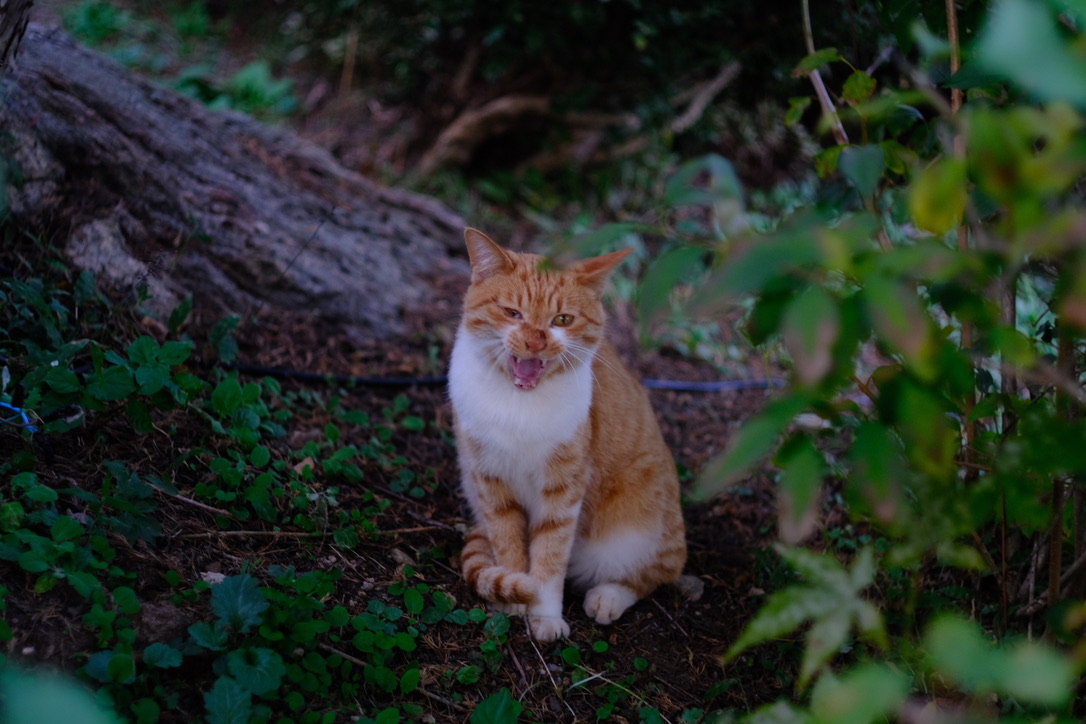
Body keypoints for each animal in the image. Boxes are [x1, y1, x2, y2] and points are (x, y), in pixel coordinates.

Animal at [448, 227, 688, 641]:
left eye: (562, 319)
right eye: (513, 313)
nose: (536, 342)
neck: (519, 404)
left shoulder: (563, 489)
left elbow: (550, 555)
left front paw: (544, 614)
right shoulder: (489, 480)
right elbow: (508, 542)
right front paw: (513, 593)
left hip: (638, 527)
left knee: (656, 572)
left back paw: (608, 597)